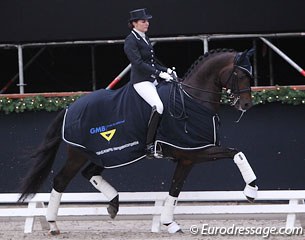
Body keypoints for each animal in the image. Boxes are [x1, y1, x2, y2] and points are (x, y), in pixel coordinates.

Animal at [18, 48, 256, 234]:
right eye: (240, 74)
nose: (246, 105)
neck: (193, 100)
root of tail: (70, 107)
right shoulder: (197, 151)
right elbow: (236, 153)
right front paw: (251, 191)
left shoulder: (188, 158)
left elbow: (175, 189)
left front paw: (169, 224)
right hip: (79, 154)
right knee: (60, 181)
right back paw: (53, 224)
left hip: (106, 155)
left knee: (90, 173)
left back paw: (113, 204)